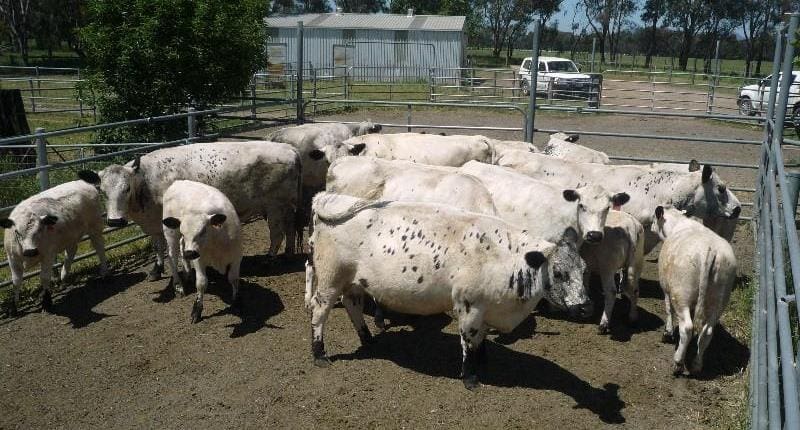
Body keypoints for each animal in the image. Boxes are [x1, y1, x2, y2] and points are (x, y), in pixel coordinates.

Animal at [0, 180, 107, 314]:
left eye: (40, 229)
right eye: (17, 232)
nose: (30, 251)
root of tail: (83, 182)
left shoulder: (48, 255)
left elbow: (45, 277)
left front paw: (46, 302)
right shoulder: (12, 258)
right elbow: (16, 281)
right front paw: (14, 307)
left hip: (95, 227)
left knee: (100, 248)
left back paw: (104, 273)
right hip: (70, 235)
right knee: (71, 251)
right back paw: (64, 277)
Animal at [79, 141, 298, 282]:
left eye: (127, 188)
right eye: (102, 191)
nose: (115, 221)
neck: (147, 183)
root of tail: (290, 149)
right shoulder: (154, 224)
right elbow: (157, 245)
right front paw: (156, 270)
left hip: (275, 207)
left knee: (277, 234)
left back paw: (269, 260)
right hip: (284, 208)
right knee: (290, 229)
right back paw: (287, 254)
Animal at [159, 180, 241, 324]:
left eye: (203, 231)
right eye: (183, 232)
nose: (190, 253)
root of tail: (178, 182)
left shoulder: (237, 257)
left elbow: (233, 278)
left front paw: (235, 301)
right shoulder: (199, 259)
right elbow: (202, 283)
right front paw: (196, 310)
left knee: (182, 247)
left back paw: (187, 273)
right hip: (170, 233)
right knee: (172, 256)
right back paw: (178, 286)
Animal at [304, 193, 588, 388]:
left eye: (584, 270)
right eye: (559, 273)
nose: (586, 307)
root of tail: (329, 198)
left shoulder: (486, 308)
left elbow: (481, 339)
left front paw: (484, 362)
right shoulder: (469, 306)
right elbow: (469, 341)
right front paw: (470, 377)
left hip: (353, 281)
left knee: (352, 305)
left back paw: (368, 338)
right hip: (330, 277)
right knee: (320, 311)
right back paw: (320, 354)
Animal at [648, 207, 736, 374]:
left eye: (654, 219)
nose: (651, 227)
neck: (677, 224)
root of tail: (710, 251)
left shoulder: (667, 289)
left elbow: (668, 310)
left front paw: (667, 333)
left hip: (681, 295)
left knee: (687, 328)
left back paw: (678, 362)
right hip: (718, 299)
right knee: (707, 332)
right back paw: (697, 364)